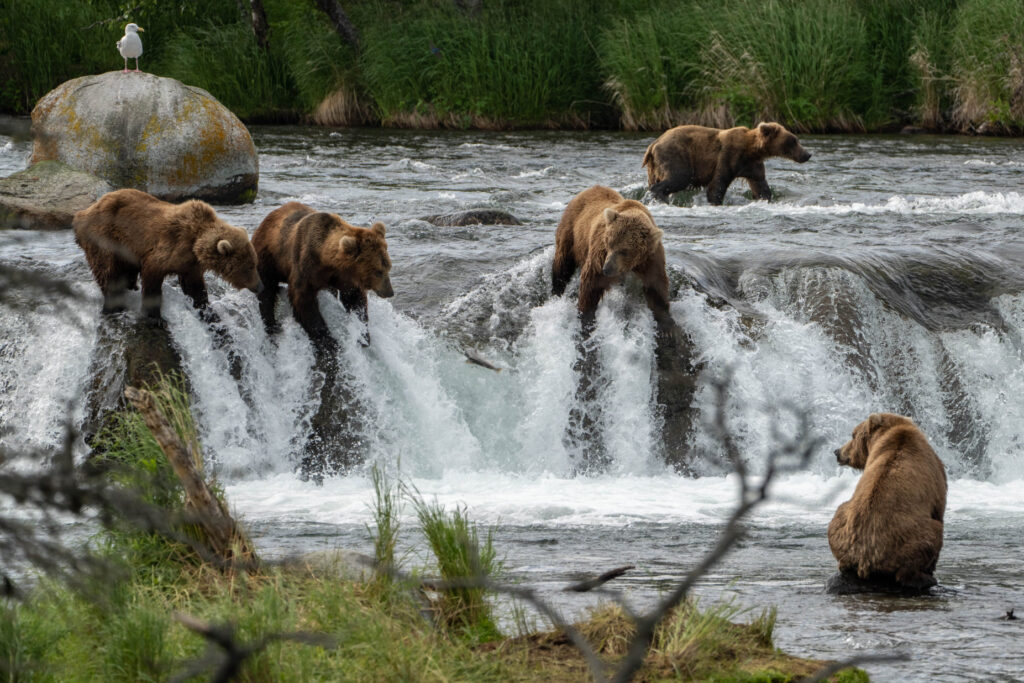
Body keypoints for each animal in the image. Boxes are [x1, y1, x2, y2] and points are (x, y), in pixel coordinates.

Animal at [73, 188, 261, 316]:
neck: (195, 243)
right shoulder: (167, 247)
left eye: (255, 263)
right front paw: (153, 314)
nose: (260, 286)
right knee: (108, 271)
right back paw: (114, 305)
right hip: (104, 237)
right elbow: (152, 275)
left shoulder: (190, 264)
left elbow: (194, 286)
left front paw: (204, 306)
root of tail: (81, 213)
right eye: (250, 266)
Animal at [251, 202, 393, 345]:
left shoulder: (343, 275)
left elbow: (353, 297)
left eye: (388, 267)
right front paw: (328, 341)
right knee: (267, 292)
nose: (389, 292)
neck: (325, 260)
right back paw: (272, 325)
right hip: (268, 258)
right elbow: (303, 302)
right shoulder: (305, 266)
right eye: (378, 271)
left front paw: (363, 333)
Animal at [552, 185, 671, 334]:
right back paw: (556, 290)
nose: (607, 269)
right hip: (571, 232)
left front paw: (666, 323)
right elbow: (591, 282)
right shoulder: (600, 252)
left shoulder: (650, 257)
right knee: (562, 264)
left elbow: (656, 286)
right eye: (609, 243)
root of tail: (585, 191)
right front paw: (586, 317)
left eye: (624, 251)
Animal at [642, 122, 811, 205]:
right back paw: (661, 196)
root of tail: (653, 144)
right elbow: (718, 184)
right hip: (675, 155)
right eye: (794, 140)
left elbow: (761, 186)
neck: (752, 150)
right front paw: (716, 201)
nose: (807, 154)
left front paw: (766, 198)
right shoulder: (729, 156)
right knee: (679, 177)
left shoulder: (752, 166)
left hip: (653, 167)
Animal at [827, 413, 947, 592]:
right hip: (907, 540)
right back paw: (926, 578)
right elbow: (939, 509)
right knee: (932, 534)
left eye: (852, 435)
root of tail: (865, 559)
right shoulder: (935, 475)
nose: (837, 452)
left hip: (842, 524)